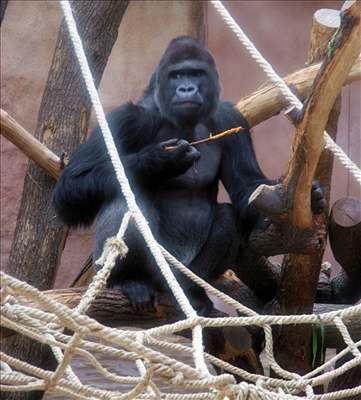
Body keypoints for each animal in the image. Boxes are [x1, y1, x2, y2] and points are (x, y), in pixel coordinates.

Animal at [52, 36, 324, 314]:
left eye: (196, 74)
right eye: (176, 75)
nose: (186, 88)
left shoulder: (230, 119)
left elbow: (247, 186)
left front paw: (310, 197)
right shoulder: (128, 119)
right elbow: (70, 188)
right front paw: (158, 161)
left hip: (179, 273)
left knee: (225, 218)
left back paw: (191, 292)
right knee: (125, 202)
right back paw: (128, 281)